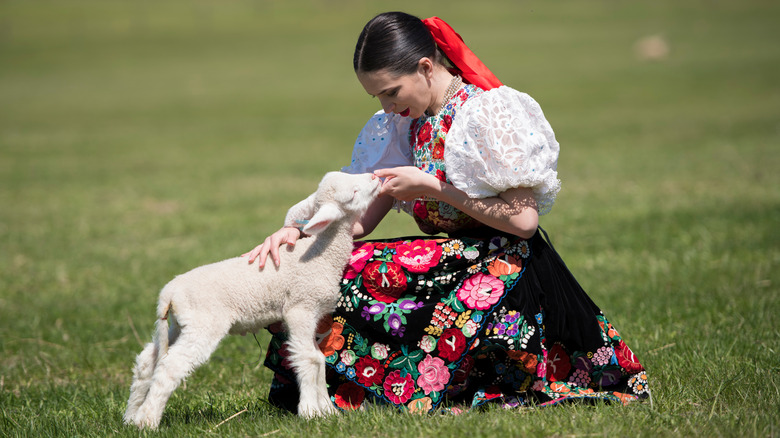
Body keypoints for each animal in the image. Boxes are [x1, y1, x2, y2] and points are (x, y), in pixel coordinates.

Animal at [123, 171, 382, 428]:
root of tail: (169, 292)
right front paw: (311, 412)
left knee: (148, 360)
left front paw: (327, 411)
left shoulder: (314, 313)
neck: (322, 254)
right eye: (353, 193)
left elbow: (319, 358)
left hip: (180, 324)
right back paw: (147, 420)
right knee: (171, 366)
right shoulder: (300, 308)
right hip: (203, 324)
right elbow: (310, 358)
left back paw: (131, 417)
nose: (375, 176)